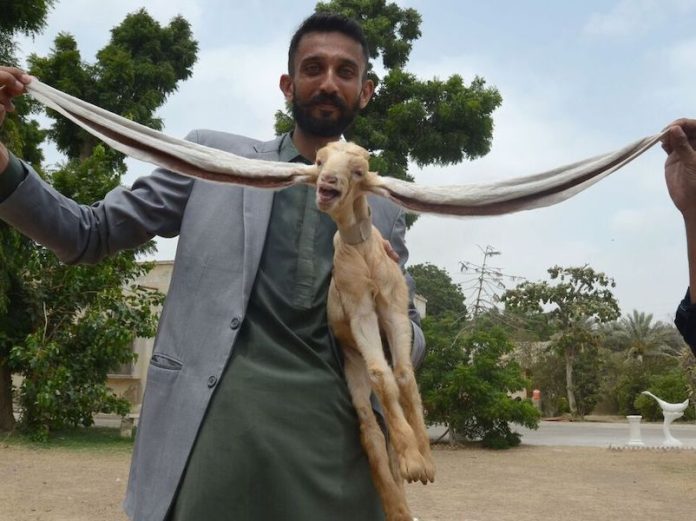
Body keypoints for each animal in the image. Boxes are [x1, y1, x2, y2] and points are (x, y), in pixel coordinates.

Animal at [314, 141, 435, 521]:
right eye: (319, 161)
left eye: (359, 170)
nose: (328, 182)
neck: (364, 252)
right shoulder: (360, 311)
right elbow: (382, 374)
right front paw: (414, 462)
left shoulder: (394, 308)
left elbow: (405, 375)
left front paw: (425, 461)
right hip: (352, 364)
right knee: (369, 426)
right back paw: (395, 505)